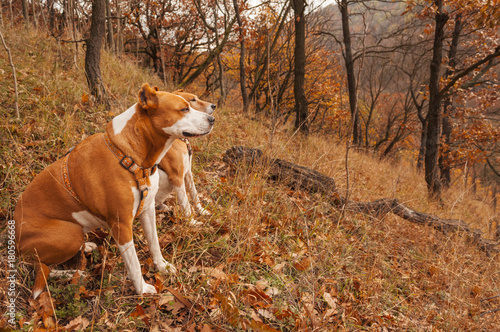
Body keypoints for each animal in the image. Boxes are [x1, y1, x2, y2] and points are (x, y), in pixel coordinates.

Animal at [155, 90, 216, 223]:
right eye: (192, 100)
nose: (214, 106)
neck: (180, 139)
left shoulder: (188, 172)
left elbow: (194, 194)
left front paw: (201, 211)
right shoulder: (177, 177)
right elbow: (186, 204)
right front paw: (192, 222)